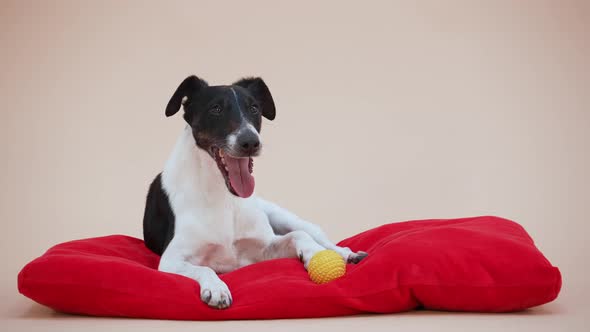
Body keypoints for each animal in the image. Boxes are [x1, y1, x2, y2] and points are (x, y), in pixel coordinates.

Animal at [142, 75, 368, 308]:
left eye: (254, 108)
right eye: (215, 109)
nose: (250, 141)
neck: (225, 196)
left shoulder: (262, 249)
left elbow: (298, 236)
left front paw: (314, 253)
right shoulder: (171, 260)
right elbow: (203, 268)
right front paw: (216, 287)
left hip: (284, 217)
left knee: (316, 235)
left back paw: (347, 254)